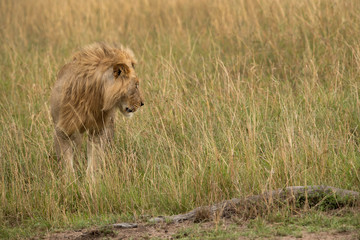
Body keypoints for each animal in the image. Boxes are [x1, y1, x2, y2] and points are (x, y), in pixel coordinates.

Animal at [49, 42, 145, 176]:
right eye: (136, 84)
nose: (142, 103)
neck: (92, 96)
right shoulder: (62, 130)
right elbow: (66, 161)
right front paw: (70, 179)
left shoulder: (98, 130)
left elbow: (94, 159)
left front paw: (91, 179)